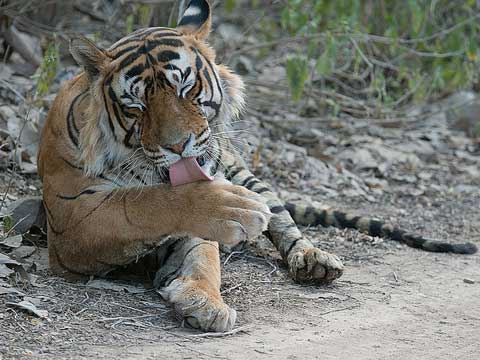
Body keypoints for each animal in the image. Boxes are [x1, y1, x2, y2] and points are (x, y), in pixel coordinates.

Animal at [37, 0, 476, 332]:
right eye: (136, 106)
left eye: (186, 88)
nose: (177, 146)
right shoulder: (73, 222)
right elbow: (143, 204)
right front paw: (228, 211)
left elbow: (205, 259)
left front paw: (203, 300)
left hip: (247, 174)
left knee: (285, 223)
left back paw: (313, 260)